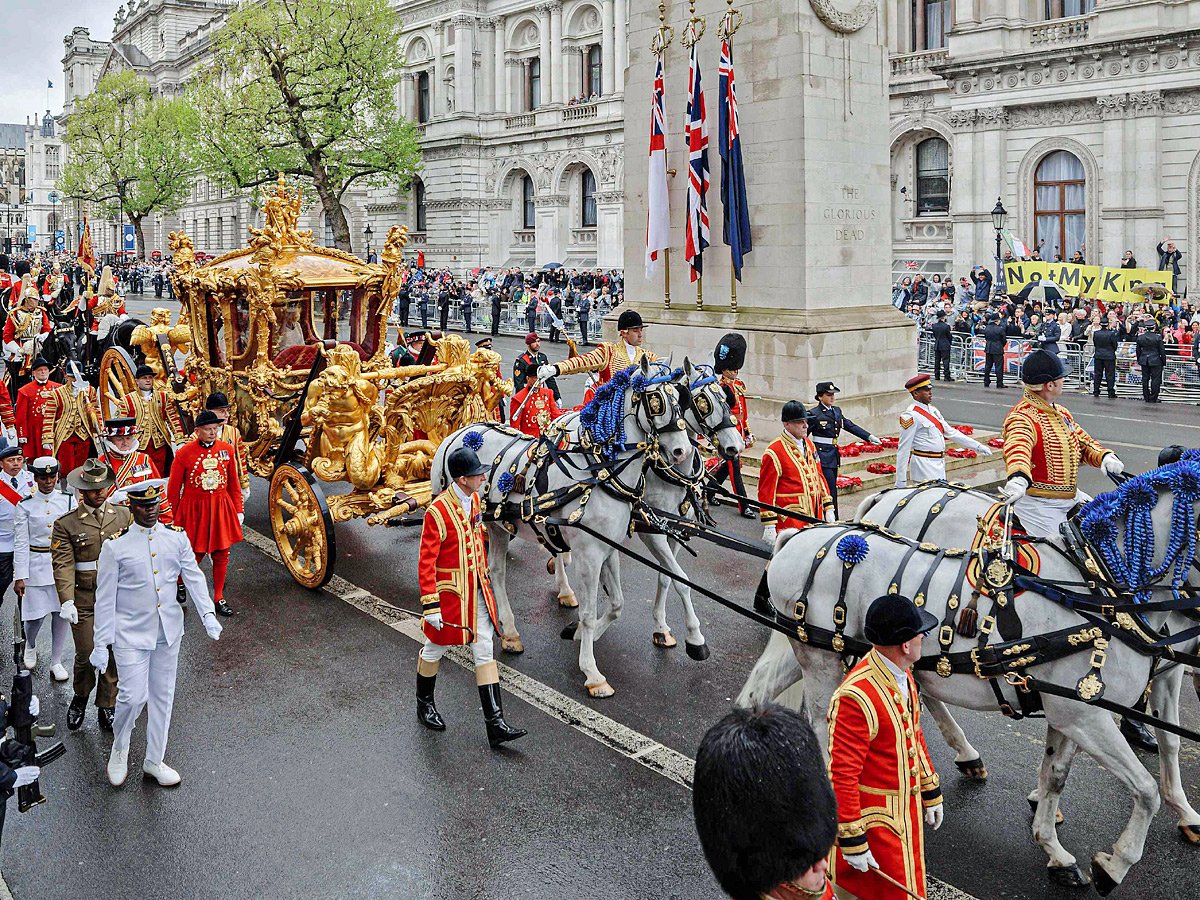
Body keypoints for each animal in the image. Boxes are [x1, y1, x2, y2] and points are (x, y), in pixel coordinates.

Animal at [432, 357, 696, 696]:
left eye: (682, 399)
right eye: (656, 400)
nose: (681, 452)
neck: (600, 473)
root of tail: (459, 433)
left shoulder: (609, 549)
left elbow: (617, 603)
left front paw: (581, 634)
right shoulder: (588, 554)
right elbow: (588, 612)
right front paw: (593, 673)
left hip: (498, 527)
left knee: (496, 572)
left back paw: (510, 632)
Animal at [734, 475, 1200, 892]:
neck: (1094, 593)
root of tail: (802, 536)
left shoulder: (1073, 712)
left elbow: (1061, 775)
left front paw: (1054, 849)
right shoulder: (1086, 715)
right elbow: (1145, 791)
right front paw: (1114, 865)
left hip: (816, 651)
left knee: (759, 694)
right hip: (822, 660)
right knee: (823, 729)